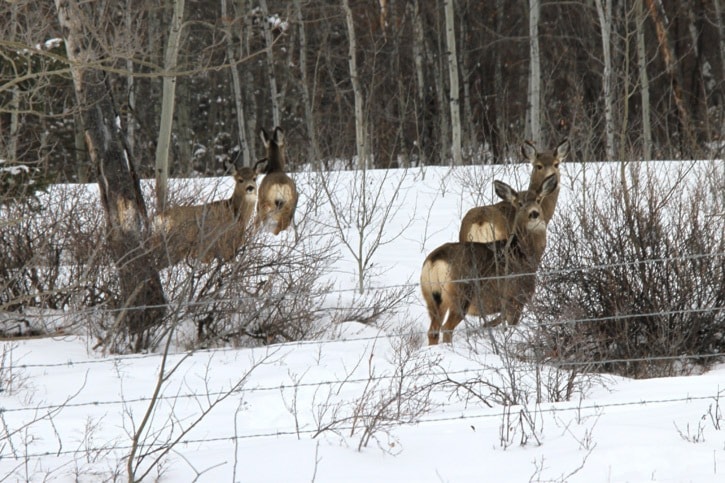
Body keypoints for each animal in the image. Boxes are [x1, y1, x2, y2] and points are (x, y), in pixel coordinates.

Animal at [422, 174, 556, 344]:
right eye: (519, 203)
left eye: (538, 199)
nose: (534, 213)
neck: (526, 254)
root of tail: (434, 261)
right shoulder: (516, 298)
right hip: (461, 293)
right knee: (447, 327)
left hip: (432, 297)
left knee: (433, 330)